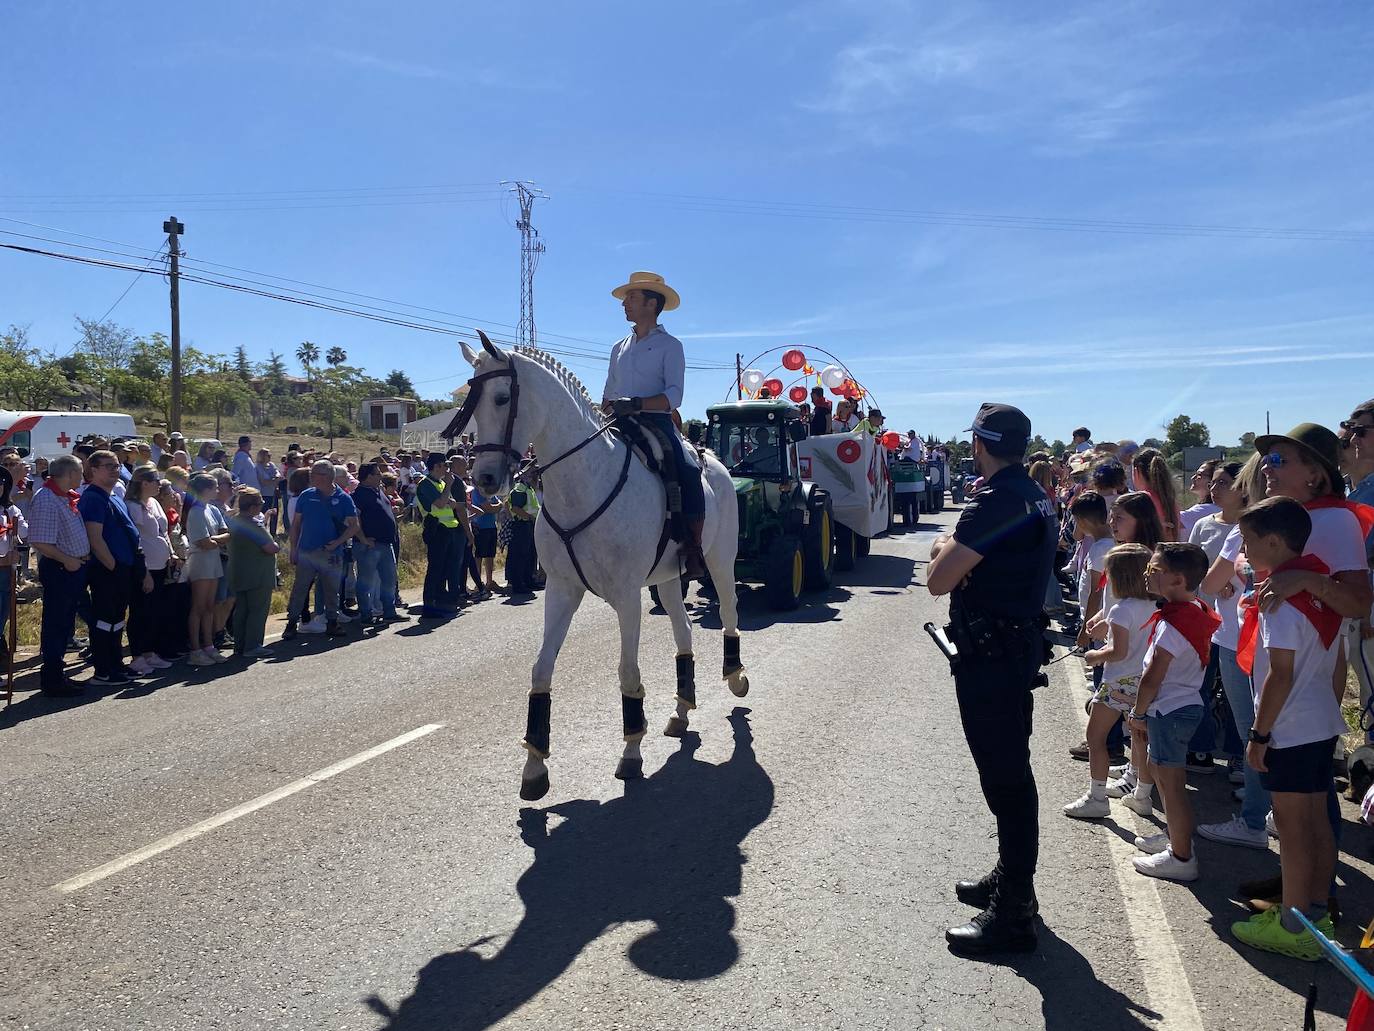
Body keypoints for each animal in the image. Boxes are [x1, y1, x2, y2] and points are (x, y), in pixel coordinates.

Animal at [458, 335, 741, 802]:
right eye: (471, 402)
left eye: (501, 398)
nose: (483, 480)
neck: (582, 484)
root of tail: (716, 462)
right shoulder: (561, 590)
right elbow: (541, 670)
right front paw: (534, 765)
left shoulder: (627, 597)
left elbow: (627, 673)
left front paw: (631, 751)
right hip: (668, 579)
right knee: (683, 630)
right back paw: (682, 709)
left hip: (720, 560)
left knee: (731, 611)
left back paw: (735, 676)